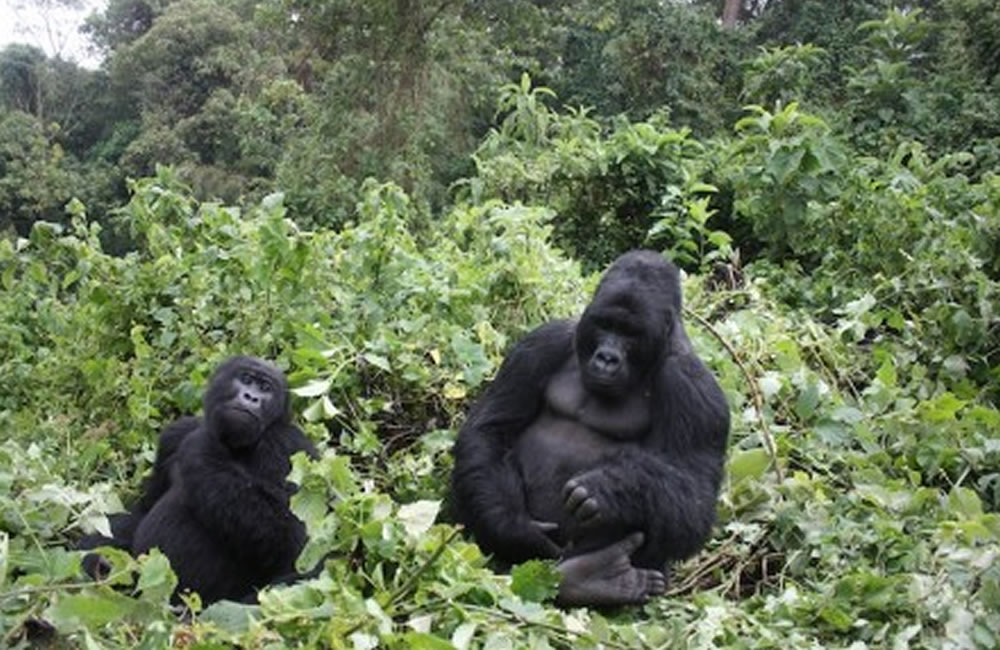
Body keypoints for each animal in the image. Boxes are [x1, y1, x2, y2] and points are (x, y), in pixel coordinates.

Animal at [81, 356, 316, 600]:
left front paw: (203, 447)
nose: (252, 397)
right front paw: (98, 559)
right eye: (246, 379)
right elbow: (142, 509)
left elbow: (291, 540)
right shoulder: (173, 434)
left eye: (265, 388)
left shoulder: (288, 444)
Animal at [452, 251, 728, 604]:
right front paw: (515, 529)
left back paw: (594, 578)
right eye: (606, 325)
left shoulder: (695, 389)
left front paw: (609, 487)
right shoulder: (542, 342)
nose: (607, 357)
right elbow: (492, 430)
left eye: (630, 333)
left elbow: (694, 497)